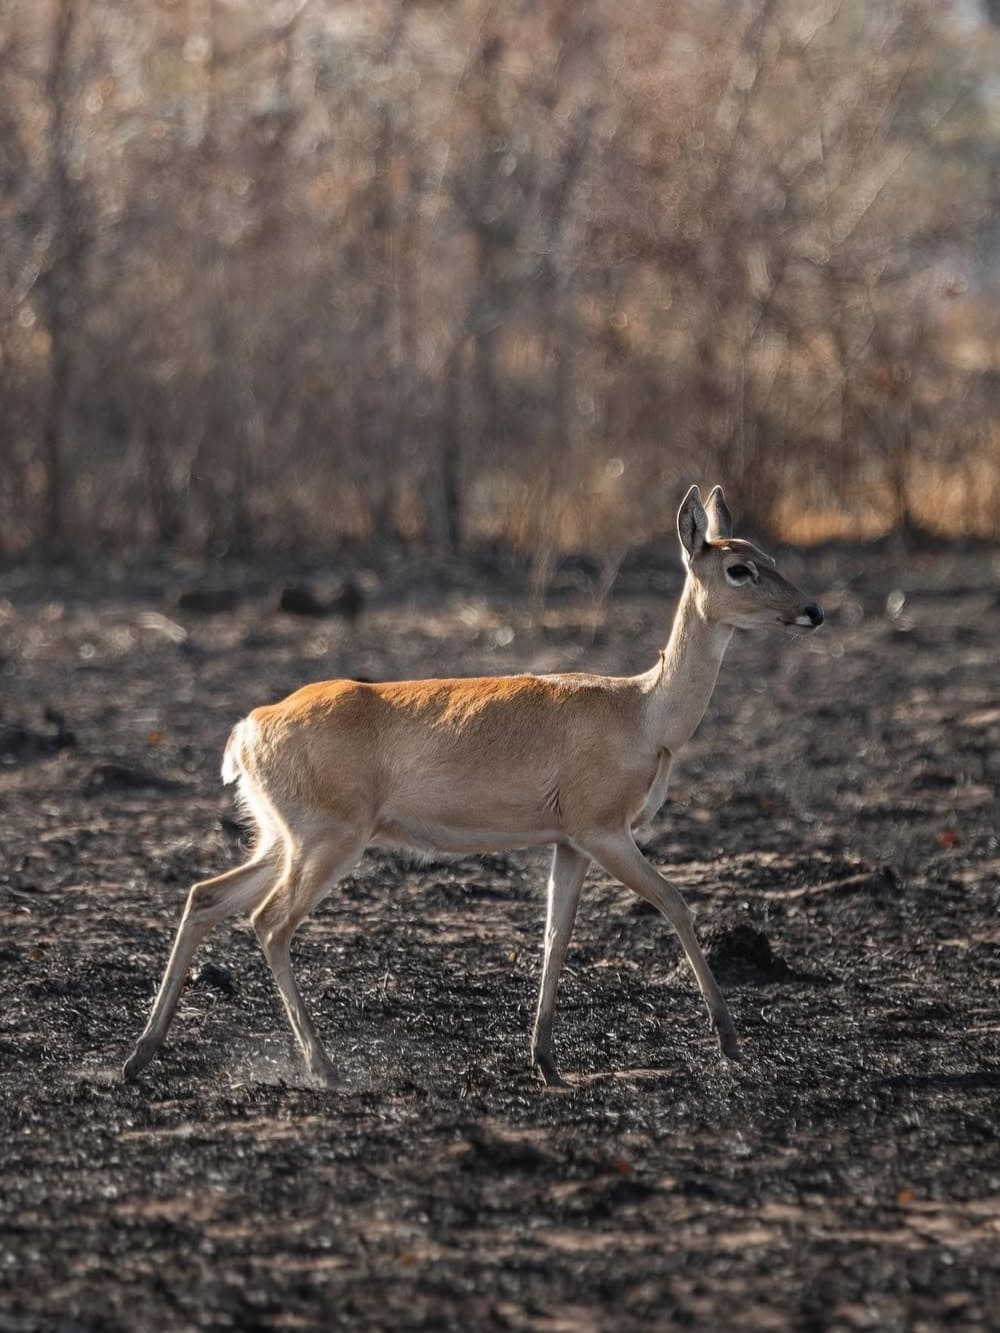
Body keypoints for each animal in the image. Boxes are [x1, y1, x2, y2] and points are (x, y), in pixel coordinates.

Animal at [123, 485, 824, 1088]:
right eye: (739, 568)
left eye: (768, 555)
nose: (812, 610)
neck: (645, 713)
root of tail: (249, 728)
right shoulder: (604, 829)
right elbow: (676, 902)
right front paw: (729, 1042)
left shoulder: (569, 842)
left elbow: (555, 935)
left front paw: (544, 1060)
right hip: (328, 839)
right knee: (269, 923)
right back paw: (323, 1067)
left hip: (280, 837)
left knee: (205, 896)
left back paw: (139, 1057)